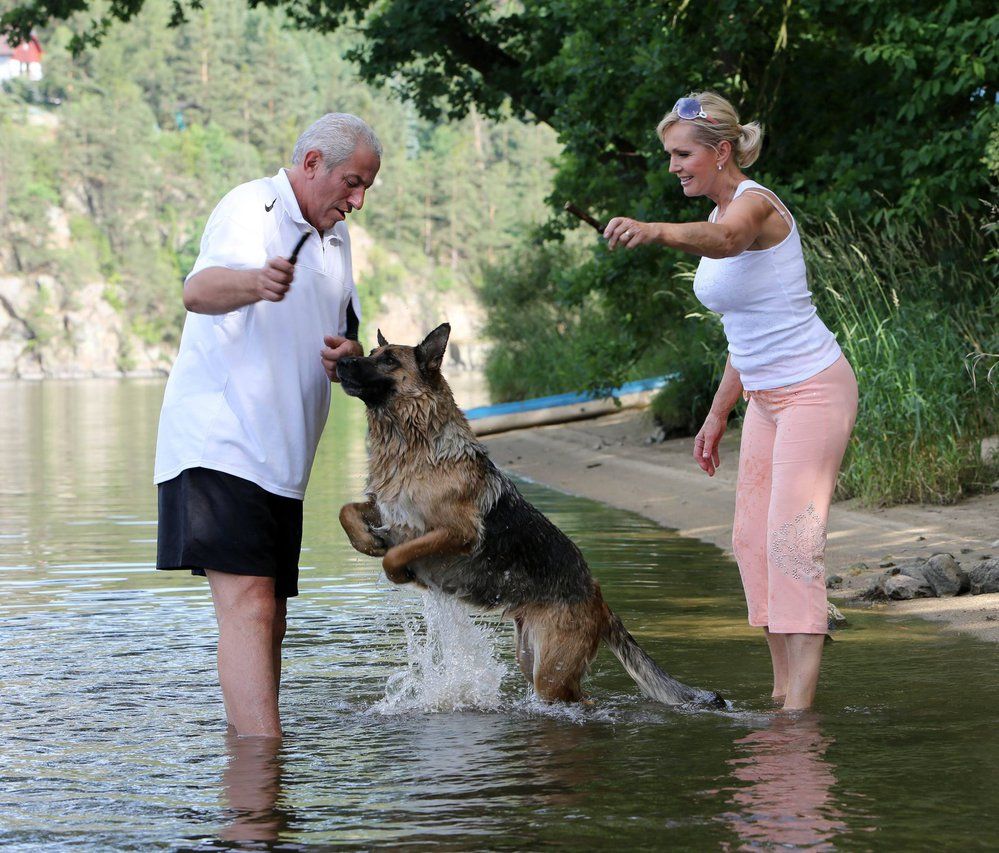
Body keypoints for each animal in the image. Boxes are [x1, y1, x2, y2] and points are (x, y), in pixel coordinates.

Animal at [340, 322, 724, 708]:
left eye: (388, 360)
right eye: (371, 354)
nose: (341, 361)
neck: (411, 444)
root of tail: (598, 597)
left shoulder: (459, 532)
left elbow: (396, 555)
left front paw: (399, 571)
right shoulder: (387, 508)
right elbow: (348, 512)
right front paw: (369, 542)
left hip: (551, 672)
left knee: (581, 699)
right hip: (532, 658)